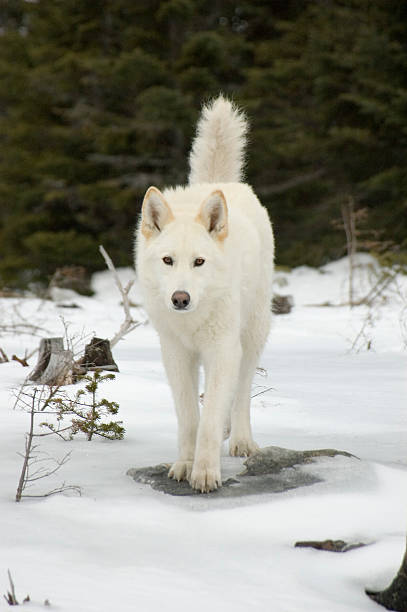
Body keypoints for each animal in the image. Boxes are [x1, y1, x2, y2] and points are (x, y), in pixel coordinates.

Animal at [136, 98, 274, 494]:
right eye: (168, 260)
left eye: (199, 261)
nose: (180, 299)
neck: (192, 321)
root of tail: (218, 184)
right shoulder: (176, 354)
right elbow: (189, 419)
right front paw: (184, 465)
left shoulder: (222, 350)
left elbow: (210, 419)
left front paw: (206, 473)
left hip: (251, 336)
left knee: (240, 393)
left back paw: (241, 440)